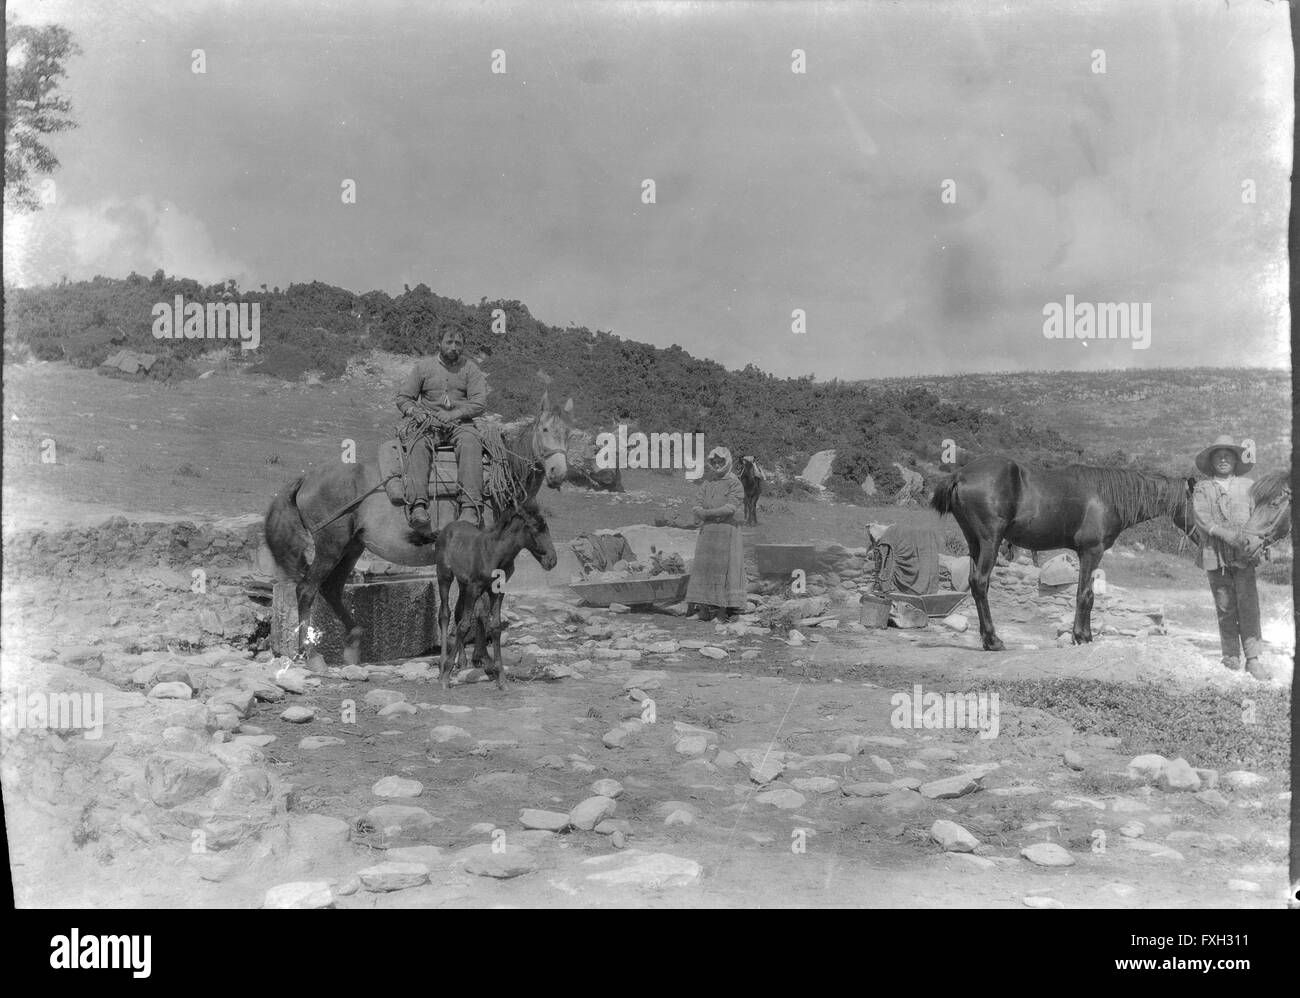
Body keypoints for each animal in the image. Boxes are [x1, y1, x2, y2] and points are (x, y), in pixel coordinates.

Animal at [261, 389, 572, 662]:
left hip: (351, 547)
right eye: (545, 430)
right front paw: (479, 658)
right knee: (307, 590)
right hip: (330, 545)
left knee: (331, 589)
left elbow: (466, 609)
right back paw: (307, 654)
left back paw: (354, 642)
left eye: (568, 434)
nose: (558, 472)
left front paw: (467, 656)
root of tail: (307, 477)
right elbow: (478, 609)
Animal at [434, 504, 556, 691]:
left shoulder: (497, 591)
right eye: (535, 529)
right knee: (445, 614)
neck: (495, 553)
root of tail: (449, 527)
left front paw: (501, 678)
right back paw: (442, 666)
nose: (552, 560)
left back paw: (462, 661)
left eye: (547, 527)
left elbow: (495, 627)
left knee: (458, 612)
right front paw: (446, 676)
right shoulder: (475, 587)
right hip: (444, 576)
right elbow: (464, 626)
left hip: (463, 583)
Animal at [935, 457, 1190, 649]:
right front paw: (1082, 637)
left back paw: (987, 639)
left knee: (976, 584)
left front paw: (1084, 635)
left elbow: (1088, 595)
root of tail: (959, 475)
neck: (1106, 498)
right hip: (990, 541)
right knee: (980, 582)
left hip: (974, 543)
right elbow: (1085, 595)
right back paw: (993, 640)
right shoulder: (1091, 552)